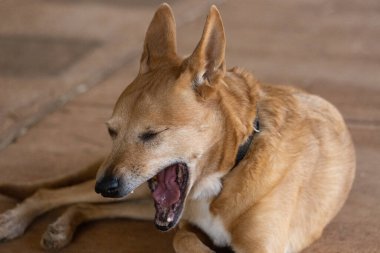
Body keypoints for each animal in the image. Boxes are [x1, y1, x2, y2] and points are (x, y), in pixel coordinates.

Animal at [0, 3, 356, 253]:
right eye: (111, 132)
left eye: (152, 134)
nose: (105, 186)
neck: (231, 170)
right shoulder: (182, 223)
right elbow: (181, 239)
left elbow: (181, 239)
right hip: (137, 189)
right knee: (53, 192)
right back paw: (18, 219)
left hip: (138, 195)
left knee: (85, 204)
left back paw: (62, 223)